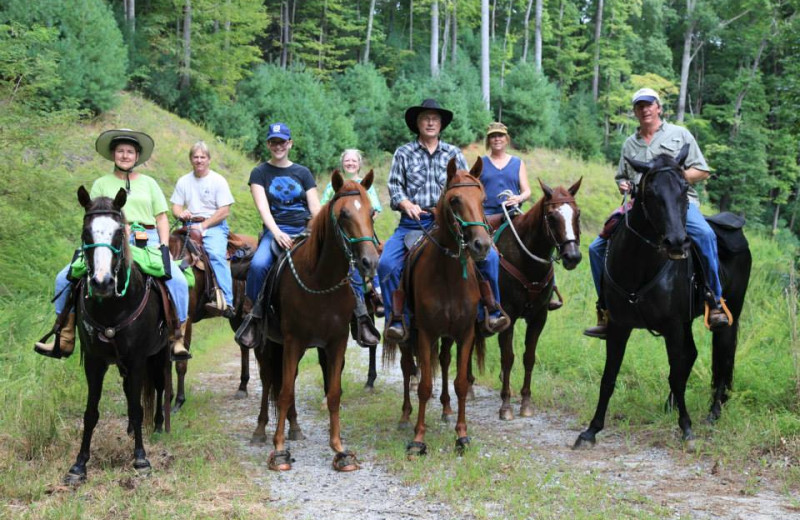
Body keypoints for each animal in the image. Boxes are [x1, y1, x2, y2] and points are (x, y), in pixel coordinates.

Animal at [65, 187, 170, 484]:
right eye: (86, 233)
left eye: (117, 232)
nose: (102, 283)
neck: (113, 307)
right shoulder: (94, 362)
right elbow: (91, 412)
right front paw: (79, 465)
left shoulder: (137, 360)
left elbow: (136, 407)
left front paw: (141, 459)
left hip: (160, 354)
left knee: (159, 386)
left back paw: (157, 425)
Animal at [169, 225, 256, 412]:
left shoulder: (187, 321)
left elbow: (181, 363)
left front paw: (178, 402)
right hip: (237, 317)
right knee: (244, 347)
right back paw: (242, 387)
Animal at [256, 171, 382, 472]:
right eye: (344, 214)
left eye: (372, 212)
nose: (369, 261)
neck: (320, 280)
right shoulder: (293, 342)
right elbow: (284, 391)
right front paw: (279, 450)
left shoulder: (336, 342)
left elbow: (333, 393)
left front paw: (339, 449)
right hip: (268, 345)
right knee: (268, 381)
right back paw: (261, 430)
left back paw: (295, 427)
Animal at [386, 156, 490, 458]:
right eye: (455, 200)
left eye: (483, 198)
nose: (481, 244)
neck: (448, 276)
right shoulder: (426, 333)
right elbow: (423, 385)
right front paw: (418, 439)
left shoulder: (465, 333)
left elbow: (461, 383)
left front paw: (462, 435)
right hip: (408, 336)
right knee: (408, 368)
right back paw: (405, 416)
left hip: (448, 336)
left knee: (443, 362)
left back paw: (445, 409)